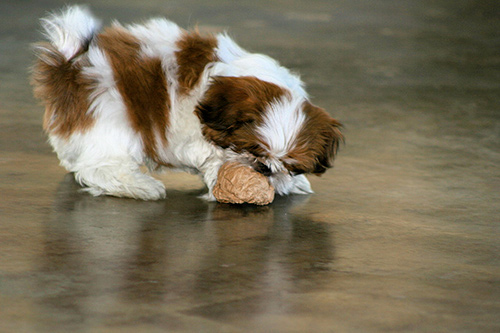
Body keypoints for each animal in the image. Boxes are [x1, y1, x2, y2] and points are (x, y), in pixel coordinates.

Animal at [32, 5, 344, 200]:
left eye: (292, 165)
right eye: (252, 149)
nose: (264, 168)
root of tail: (69, 68)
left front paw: (292, 183)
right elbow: (208, 154)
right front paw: (218, 175)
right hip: (111, 116)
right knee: (97, 167)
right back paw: (140, 186)